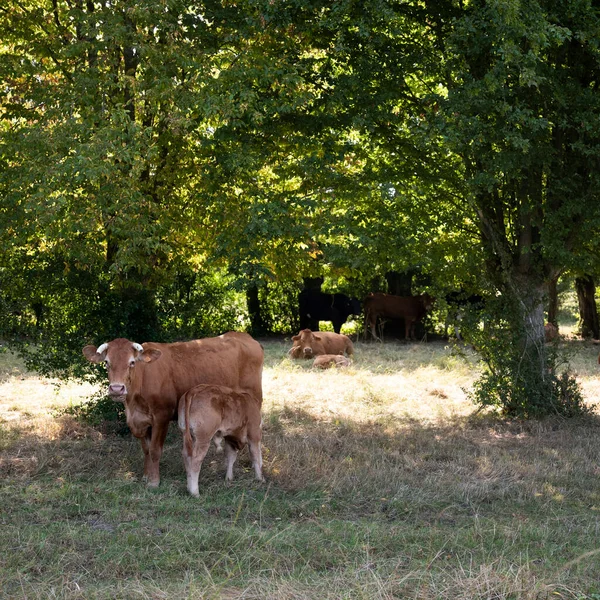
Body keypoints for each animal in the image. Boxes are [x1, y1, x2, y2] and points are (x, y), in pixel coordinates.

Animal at [82, 332, 262, 488]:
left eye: (132, 362)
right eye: (106, 362)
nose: (116, 389)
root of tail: (242, 335)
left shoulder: (162, 416)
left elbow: (155, 450)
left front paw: (154, 481)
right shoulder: (141, 420)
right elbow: (146, 450)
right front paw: (146, 476)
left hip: (253, 402)